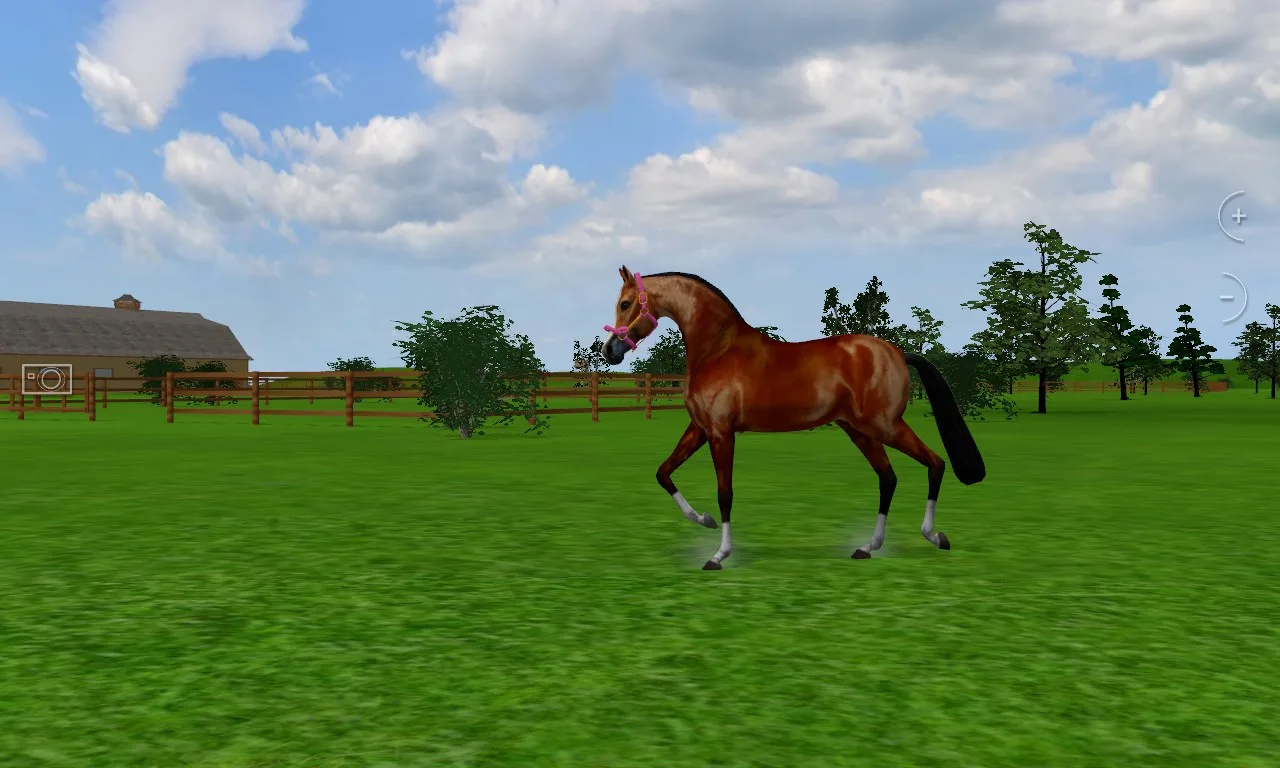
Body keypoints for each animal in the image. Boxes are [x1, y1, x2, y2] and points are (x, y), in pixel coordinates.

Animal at [600, 267, 986, 570]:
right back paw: (867, 547)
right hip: (859, 430)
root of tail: (898, 353)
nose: (609, 351)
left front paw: (719, 555)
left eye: (625, 304)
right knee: (888, 479)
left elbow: (725, 493)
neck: (718, 350)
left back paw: (935, 537)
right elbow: (664, 472)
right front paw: (704, 520)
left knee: (935, 463)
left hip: (884, 425)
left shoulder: (722, 432)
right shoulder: (700, 429)